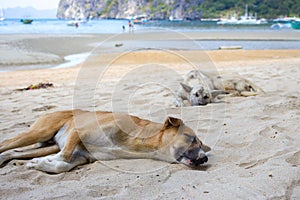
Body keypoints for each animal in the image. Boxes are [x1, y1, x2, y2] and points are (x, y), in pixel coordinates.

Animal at [0, 109, 211, 173]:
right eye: (191, 138)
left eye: (201, 145)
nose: (204, 158)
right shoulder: (79, 131)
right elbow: (64, 155)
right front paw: (44, 162)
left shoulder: (82, 157)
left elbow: (63, 164)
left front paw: (42, 164)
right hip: (39, 132)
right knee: (5, 144)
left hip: (44, 145)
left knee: (12, 152)